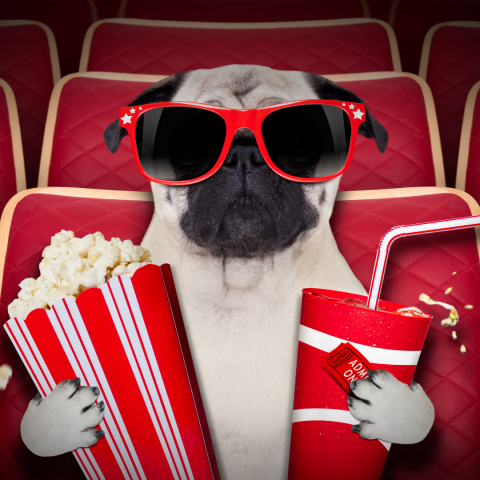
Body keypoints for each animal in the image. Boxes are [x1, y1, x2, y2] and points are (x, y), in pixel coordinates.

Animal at [20, 64, 436, 480]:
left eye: (299, 142)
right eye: (189, 147)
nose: (244, 154)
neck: (243, 287)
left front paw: (393, 406)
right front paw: (59, 418)